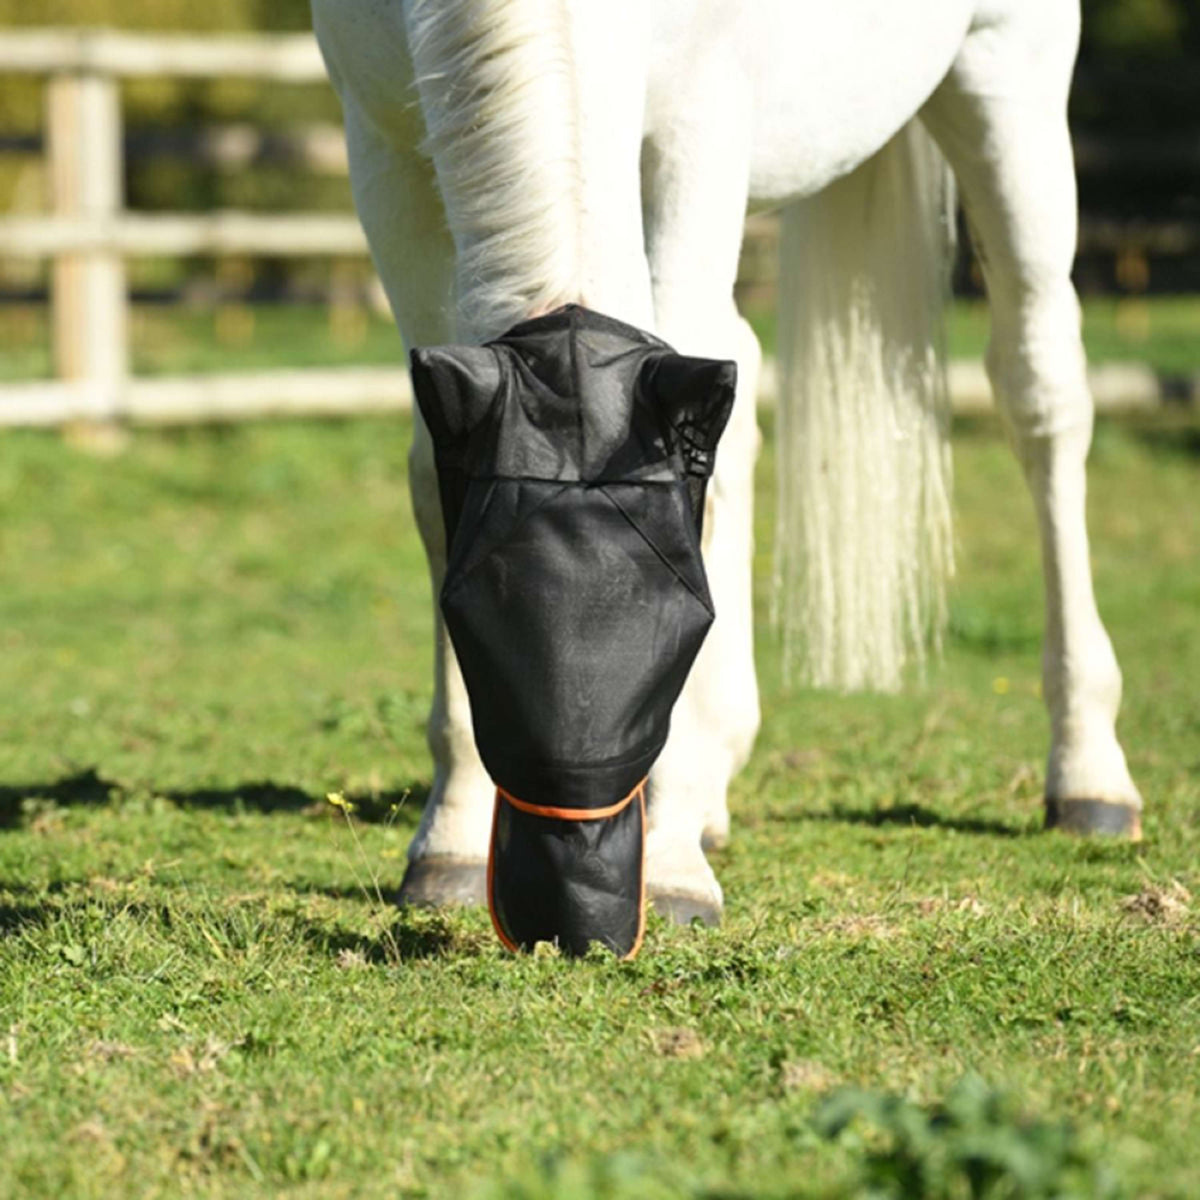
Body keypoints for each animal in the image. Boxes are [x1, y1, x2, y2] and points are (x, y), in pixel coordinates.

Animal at [312, 0, 1142, 921]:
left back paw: (1091, 777)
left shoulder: (697, 127)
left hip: (1008, 79)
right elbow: (434, 474)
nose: (573, 905)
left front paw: (671, 862)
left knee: (1041, 395)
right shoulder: (385, 149)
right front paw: (452, 836)